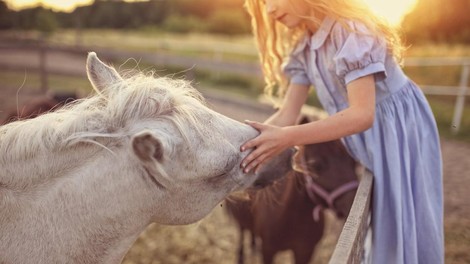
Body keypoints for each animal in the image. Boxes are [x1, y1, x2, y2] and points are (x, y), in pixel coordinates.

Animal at [226, 116, 358, 264]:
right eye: (317, 165)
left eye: (354, 164)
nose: (352, 203)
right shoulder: (268, 250)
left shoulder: (305, 252)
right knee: (242, 233)